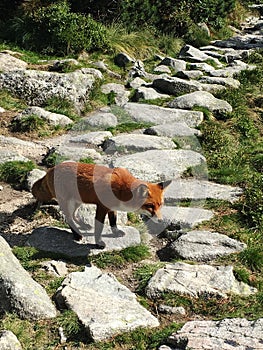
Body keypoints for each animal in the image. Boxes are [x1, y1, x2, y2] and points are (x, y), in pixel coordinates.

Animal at [32, 161, 172, 249]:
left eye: (160, 205)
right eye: (150, 206)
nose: (161, 221)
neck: (122, 190)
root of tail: (51, 170)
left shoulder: (112, 208)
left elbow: (113, 221)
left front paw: (116, 232)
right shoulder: (102, 207)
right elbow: (99, 228)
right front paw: (98, 243)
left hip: (78, 201)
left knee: (73, 215)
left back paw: (83, 225)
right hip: (69, 202)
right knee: (68, 218)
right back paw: (77, 234)